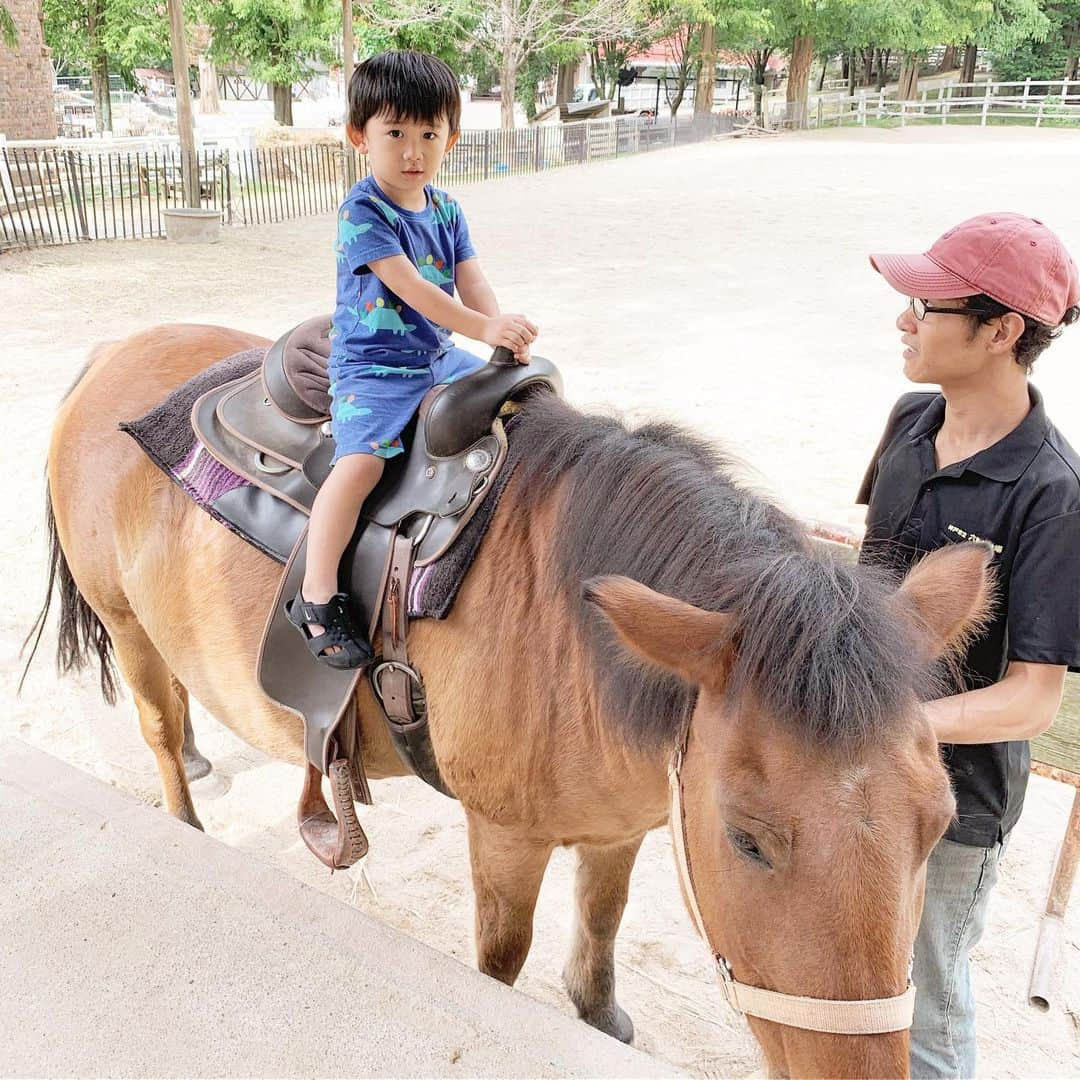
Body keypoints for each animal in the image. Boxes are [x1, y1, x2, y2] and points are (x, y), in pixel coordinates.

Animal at [35, 324, 993, 1075]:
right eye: (747, 841)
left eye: (938, 827)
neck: (573, 638)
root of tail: (118, 350)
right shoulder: (503, 836)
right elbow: (500, 962)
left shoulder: (623, 822)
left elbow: (602, 923)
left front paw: (598, 1012)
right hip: (124, 621)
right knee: (157, 731)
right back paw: (184, 805)